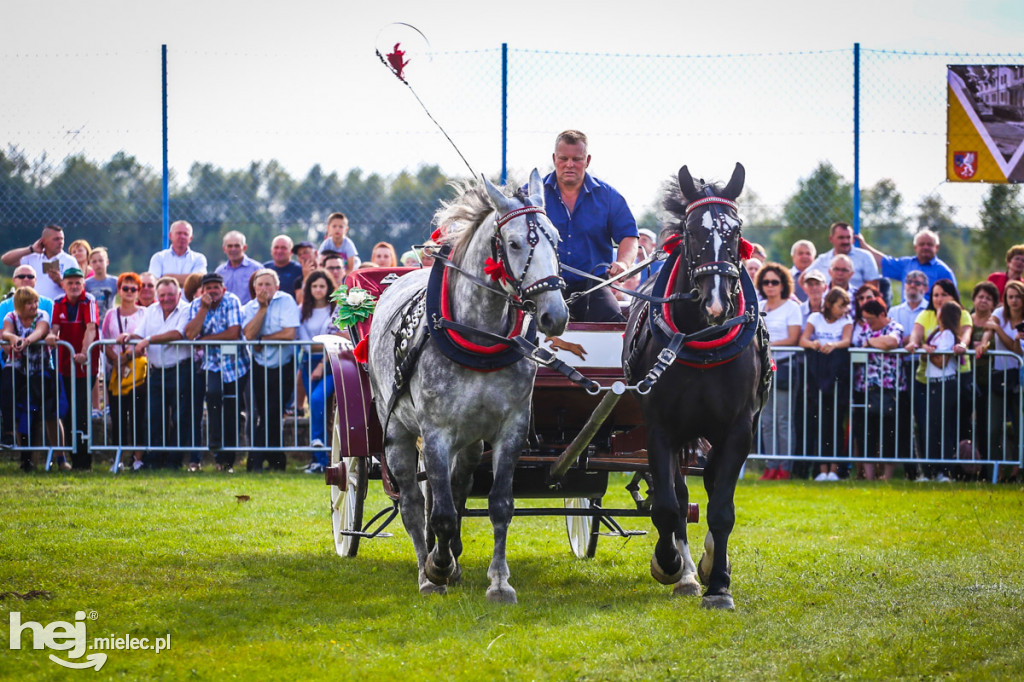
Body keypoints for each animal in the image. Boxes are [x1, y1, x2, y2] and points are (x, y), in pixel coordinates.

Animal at [622, 161, 770, 606]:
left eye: (736, 230)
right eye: (690, 231)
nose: (717, 304)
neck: (702, 340)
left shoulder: (738, 429)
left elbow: (721, 508)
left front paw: (718, 582)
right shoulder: (660, 428)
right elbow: (668, 507)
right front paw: (669, 563)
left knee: (708, 487)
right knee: (681, 496)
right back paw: (686, 571)